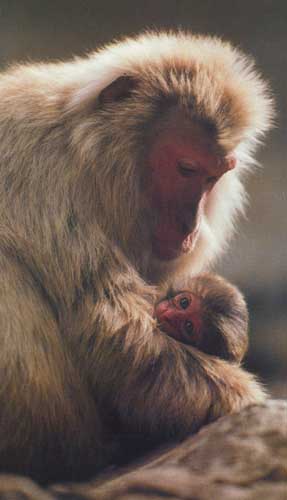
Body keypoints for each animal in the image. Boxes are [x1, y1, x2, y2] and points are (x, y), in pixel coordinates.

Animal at [0, 32, 274, 484]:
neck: (81, 149)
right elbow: (114, 325)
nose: (190, 226)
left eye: (213, 177)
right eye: (185, 168)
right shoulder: (43, 178)